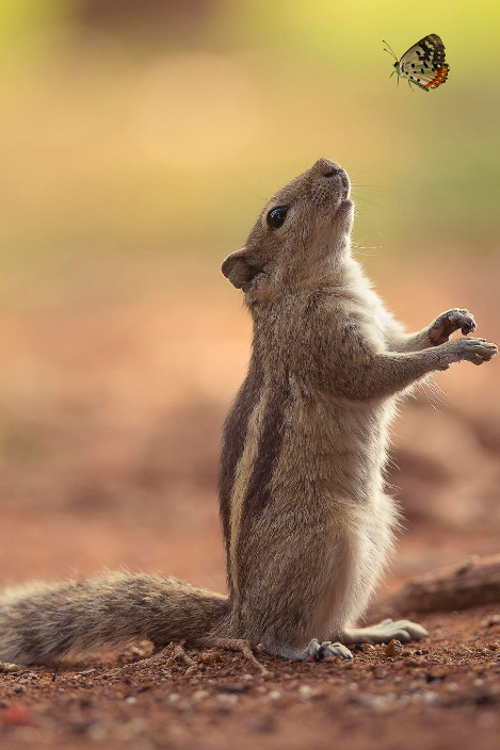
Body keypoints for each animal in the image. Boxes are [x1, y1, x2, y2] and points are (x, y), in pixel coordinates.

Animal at [0, 157, 496, 664]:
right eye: (276, 216)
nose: (328, 164)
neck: (317, 284)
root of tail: (236, 613)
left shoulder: (382, 327)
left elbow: (406, 344)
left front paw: (451, 322)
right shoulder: (325, 346)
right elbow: (376, 375)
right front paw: (459, 350)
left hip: (378, 527)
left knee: (333, 621)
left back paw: (374, 631)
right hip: (328, 538)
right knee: (271, 635)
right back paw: (307, 649)